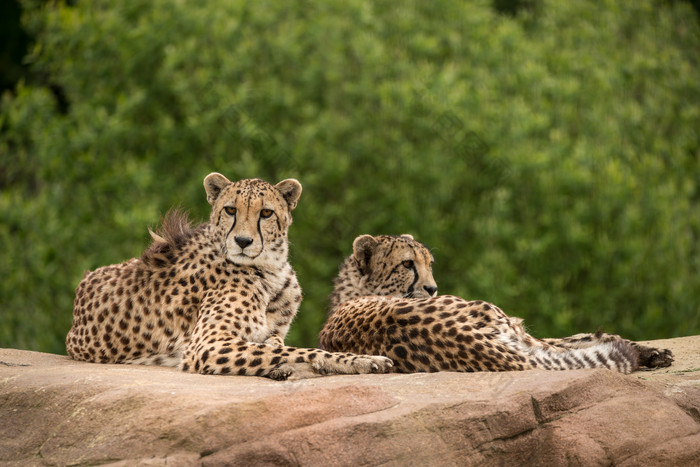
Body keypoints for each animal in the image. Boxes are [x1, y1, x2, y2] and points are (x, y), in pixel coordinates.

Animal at [65, 175, 394, 380]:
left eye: (266, 213)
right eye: (230, 209)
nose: (243, 241)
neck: (271, 271)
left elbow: (276, 345)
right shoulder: (207, 345)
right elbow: (301, 350)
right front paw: (363, 360)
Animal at [320, 236, 676, 374]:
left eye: (429, 263)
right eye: (408, 264)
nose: (433, 288)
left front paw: (653, 351)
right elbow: (586, 340)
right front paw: (648, 351)